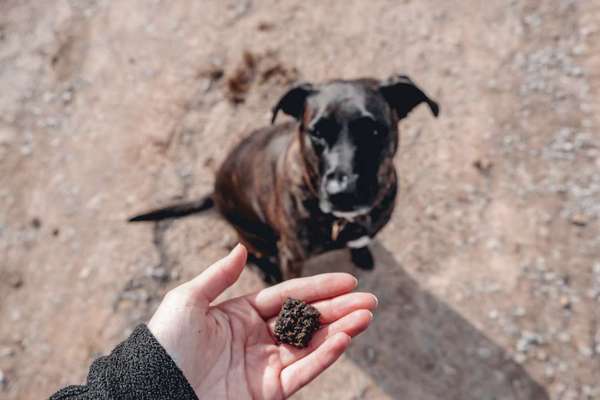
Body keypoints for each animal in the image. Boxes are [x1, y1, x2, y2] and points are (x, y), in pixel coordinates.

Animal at [131, 74, 438, 282]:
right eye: (317, 132)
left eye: (373, 131)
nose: (342, 192)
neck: (342, 223)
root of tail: (215, 194)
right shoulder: (291, 256)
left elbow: (361, 242)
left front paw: (361, 254)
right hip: (255, 236)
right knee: (247, 253)